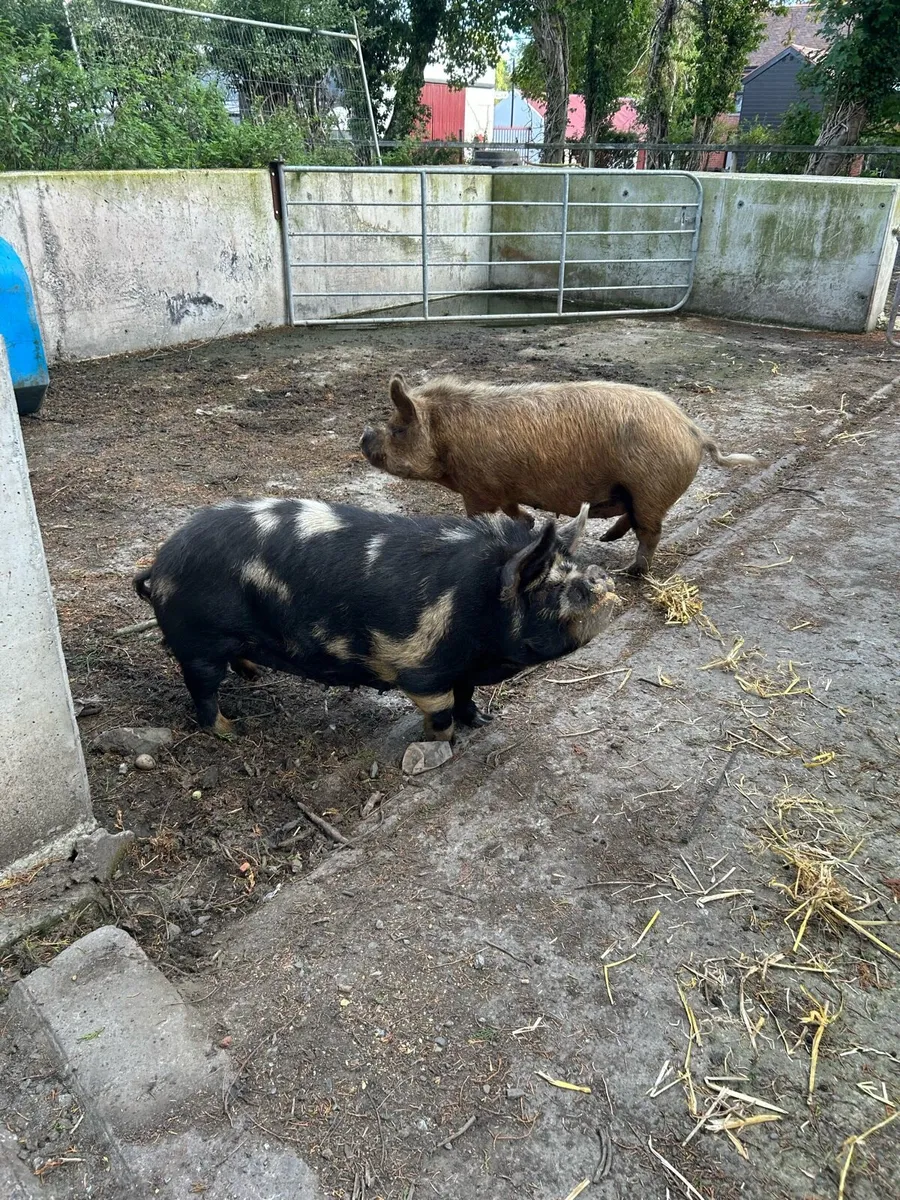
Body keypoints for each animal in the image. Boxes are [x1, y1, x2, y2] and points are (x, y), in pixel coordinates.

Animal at [132, 497, 620, 742]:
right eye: (551, 585)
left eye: (575, 564)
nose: (598, 574)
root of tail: (160, 564)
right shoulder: (420, 667)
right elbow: (441, 710)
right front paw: (442, 743)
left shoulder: (461, 666)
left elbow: (465, 695)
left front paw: (483, 722)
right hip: (197, 641)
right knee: (202, 691)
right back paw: (231, 730)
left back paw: (253, 677)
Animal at [360, 374, 760, 575]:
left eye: (398, 429)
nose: (364, 436)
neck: (446, 439)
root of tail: (694, 431)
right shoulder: (503, 488)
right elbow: (514, 511)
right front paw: (529, 522)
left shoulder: (477, 488)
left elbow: (481, 516)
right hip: (639, 491)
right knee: (633, 519)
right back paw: (608, 541)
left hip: (651, 486)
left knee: (650, 531)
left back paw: (632, 571)